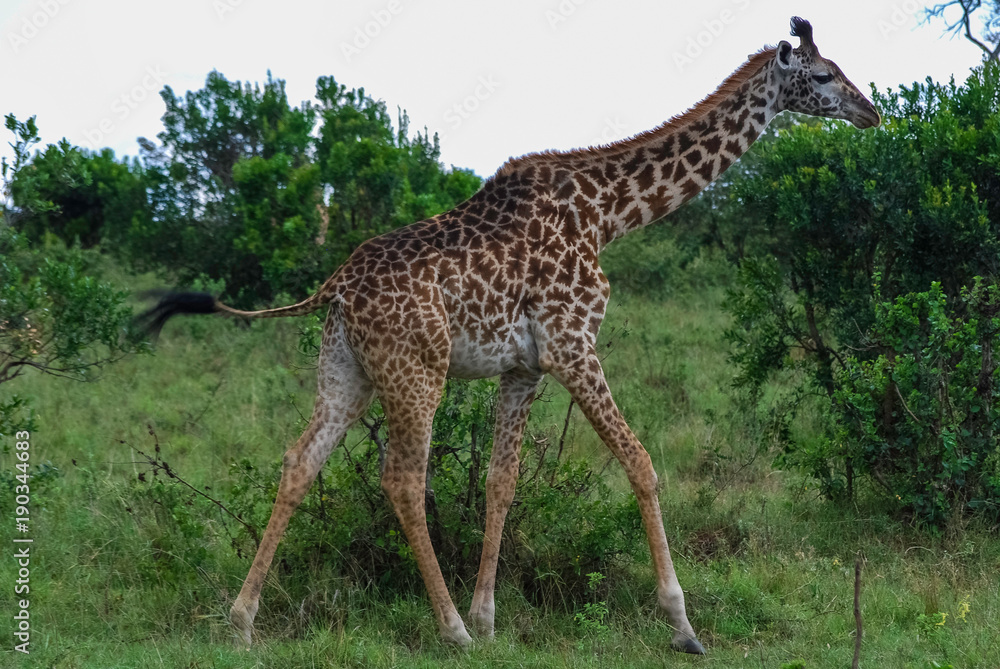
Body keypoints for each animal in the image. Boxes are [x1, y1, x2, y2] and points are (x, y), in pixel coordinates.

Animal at [141, 17, 879, 654]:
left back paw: (242, 619)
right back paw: (446, 631)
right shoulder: (573, 343)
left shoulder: (523, 366)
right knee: (402, 479)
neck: (609, 214)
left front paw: (489, 615)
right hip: (418, 369)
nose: (872, 112)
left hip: (346, 369)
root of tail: (336, 286)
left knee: (300, 462)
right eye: (821, 74)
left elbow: (502, 480)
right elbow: (640, 462)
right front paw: (681, 623)